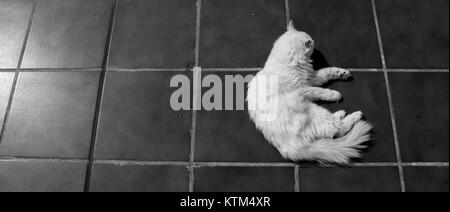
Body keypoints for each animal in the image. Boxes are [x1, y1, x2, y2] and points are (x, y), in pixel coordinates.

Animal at [248, 21, 370, 163]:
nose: (315, 45)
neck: (290, 62)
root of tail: (290, 149)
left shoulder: (311, 78)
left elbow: (327, 72)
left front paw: (342, 73)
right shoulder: (303, 87)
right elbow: (320, 91)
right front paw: (334, 94)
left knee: (334, 128)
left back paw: (341, 113)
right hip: (315, 113)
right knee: (336, 129)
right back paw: (356, 115)